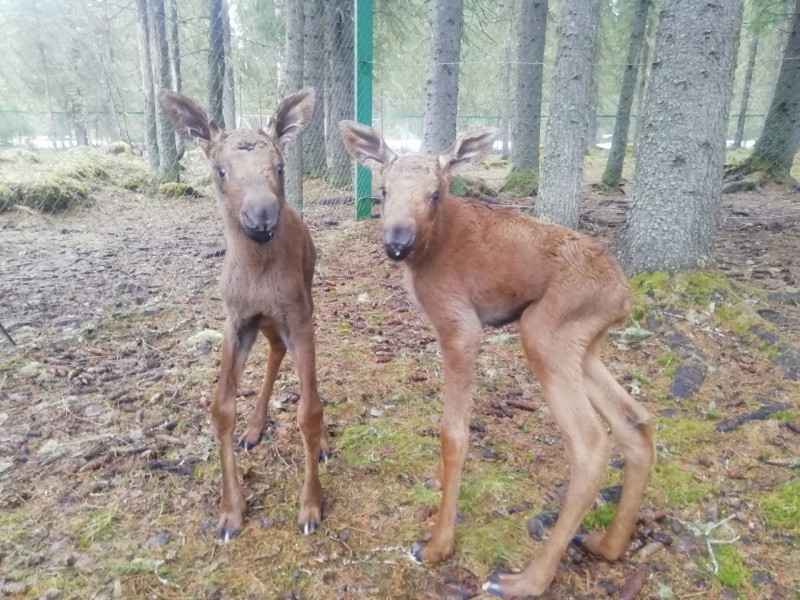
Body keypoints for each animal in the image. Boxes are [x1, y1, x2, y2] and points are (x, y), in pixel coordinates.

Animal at [159, 86, 328, 540]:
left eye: (280, 167)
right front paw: (230, 511)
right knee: (274, 350)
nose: (262, 214)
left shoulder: (298, 317)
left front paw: (311, 505)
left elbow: (309, 411)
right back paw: (254, 428)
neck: (258, 277)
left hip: (305, 294)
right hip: (262, 322)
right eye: (220, 170)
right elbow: (220, 410)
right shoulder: (235, 320)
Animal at [340, 119, 656, 596]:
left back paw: (526, 579)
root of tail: (624, 296)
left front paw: (438, 544)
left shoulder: (462, 326)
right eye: (383, 189)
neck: (426, 256)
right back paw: (608, 544)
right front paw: (435, 478)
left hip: (543, 332)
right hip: (583, 345)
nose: (396, 242)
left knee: (590, 442)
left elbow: (454, 432)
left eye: (436, 193)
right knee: (636, 419)